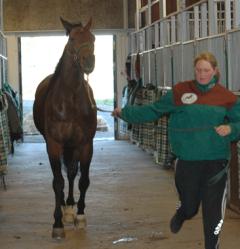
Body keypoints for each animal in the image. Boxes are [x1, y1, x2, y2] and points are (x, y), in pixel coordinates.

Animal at [32, 17, 96, 239]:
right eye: (72, 39)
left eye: (93, 38)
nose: (89, 62)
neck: (70, 100)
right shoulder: (53, 144)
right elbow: (57, 182)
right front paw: (57, 223)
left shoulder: (85, 144)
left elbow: (83, 180)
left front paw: (80, 216)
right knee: (60, 177)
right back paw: (63, 209)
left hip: (72, 146)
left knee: (71, 172)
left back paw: (69, 208)